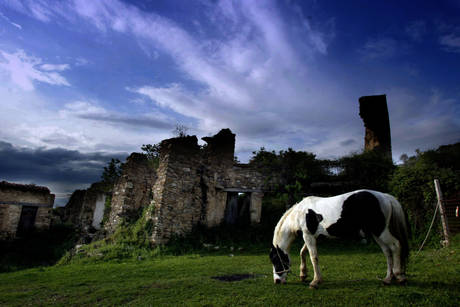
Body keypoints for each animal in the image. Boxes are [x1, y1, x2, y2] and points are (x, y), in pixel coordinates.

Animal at [270, 190, 410, 288]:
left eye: (275, 260)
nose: (276, 281)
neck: (300, 213)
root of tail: (385, 197)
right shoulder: (312, 236)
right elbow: (303, 252)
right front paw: (303, 274)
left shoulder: (308, 235)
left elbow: (313, 257)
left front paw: (315, 281)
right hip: (376, 234)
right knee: (387, 252)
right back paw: (387, 279)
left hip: (381, 231)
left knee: (396, 246)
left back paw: (399, 276)